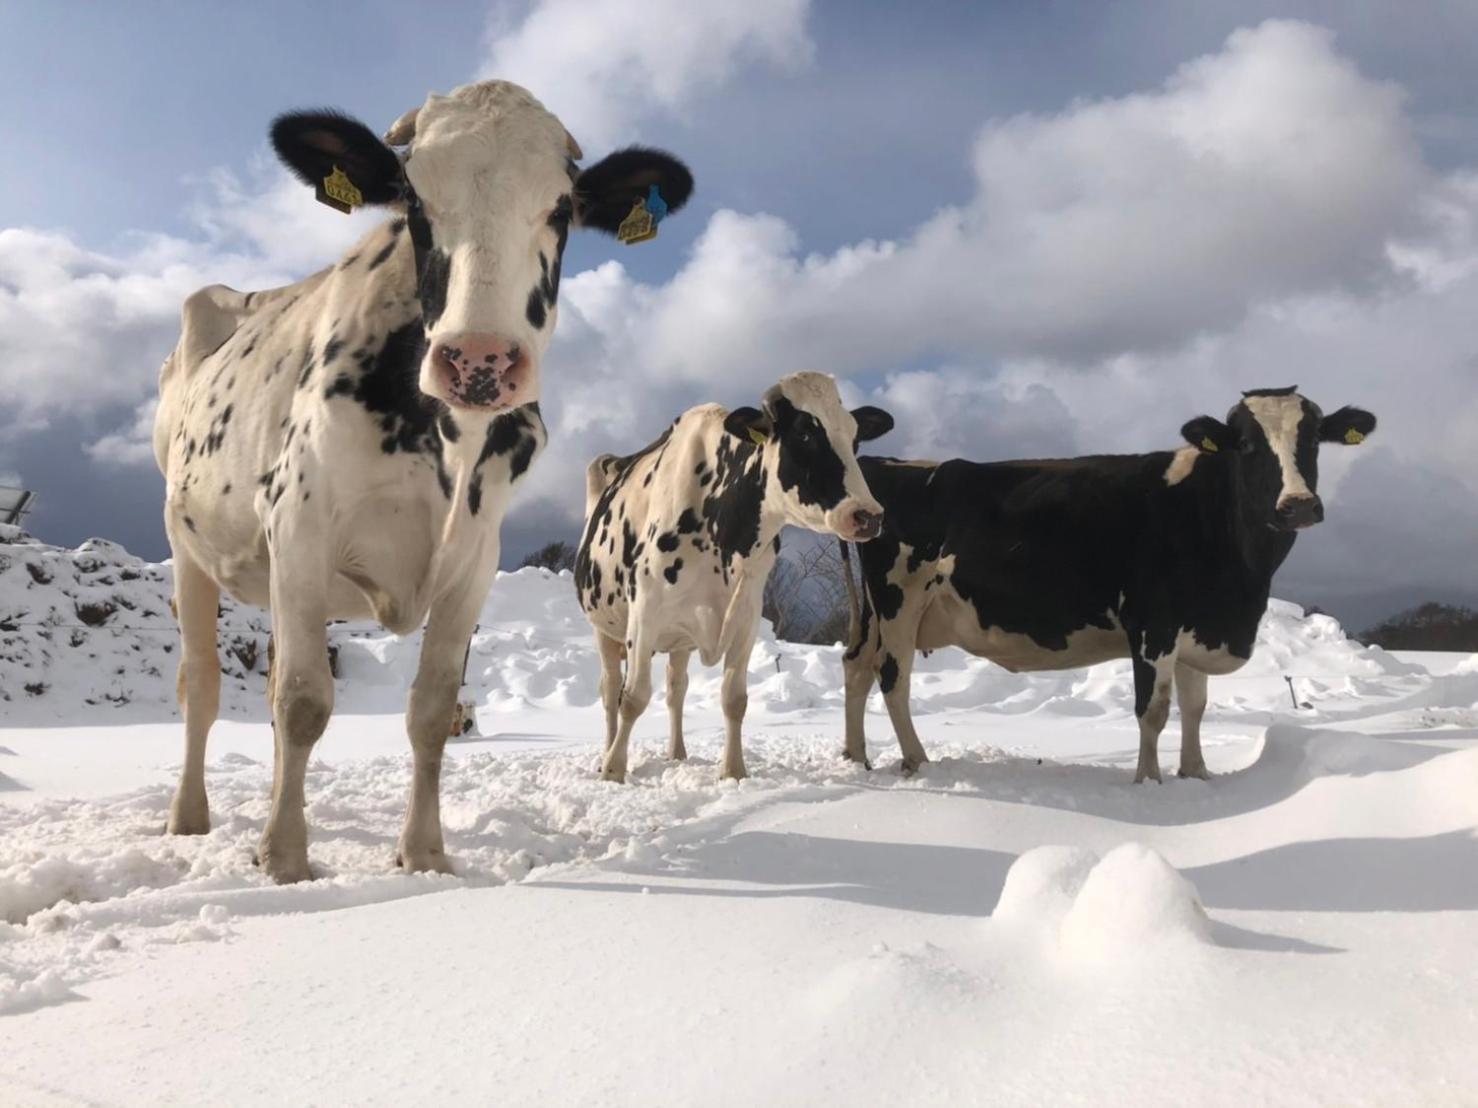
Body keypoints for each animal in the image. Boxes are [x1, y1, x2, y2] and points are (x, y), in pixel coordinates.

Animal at [152, 80, 694, 886]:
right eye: (412, 195)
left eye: (561, 207)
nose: (479, 359)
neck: (445, 440)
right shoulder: (300, 525)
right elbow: (304, 701)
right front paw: (285, 858)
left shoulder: (475, 556)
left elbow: (434, 709)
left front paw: (426, 853)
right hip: (186, 541)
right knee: (203, 685)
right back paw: (190, 817)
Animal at [576, 373, 892, 780]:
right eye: (805, 433)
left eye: (854, 438)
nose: (867, 515)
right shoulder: (645, 612)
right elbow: (633, 698)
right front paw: (614, 771)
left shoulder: (747, 614)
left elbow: (734, 699)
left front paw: (734, 771)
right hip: (604, 627)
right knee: (611, 690)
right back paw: (607, 753)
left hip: (679, 639)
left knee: (676, 687)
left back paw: (677, 754)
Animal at [839, 387, 1377, 785]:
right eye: (1245, 444)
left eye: (1314, 440)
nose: (1298, 505)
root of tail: (889, 463)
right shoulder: (1153, 624)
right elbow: (1153, 710)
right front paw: (1148, 783)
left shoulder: (1195, 628)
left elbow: (1196, 707)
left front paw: (1196, 774)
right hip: (899, 601)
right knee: (893, 677)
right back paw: (916, 761)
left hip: (875, 612)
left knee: (857, 666)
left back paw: (856, 757)